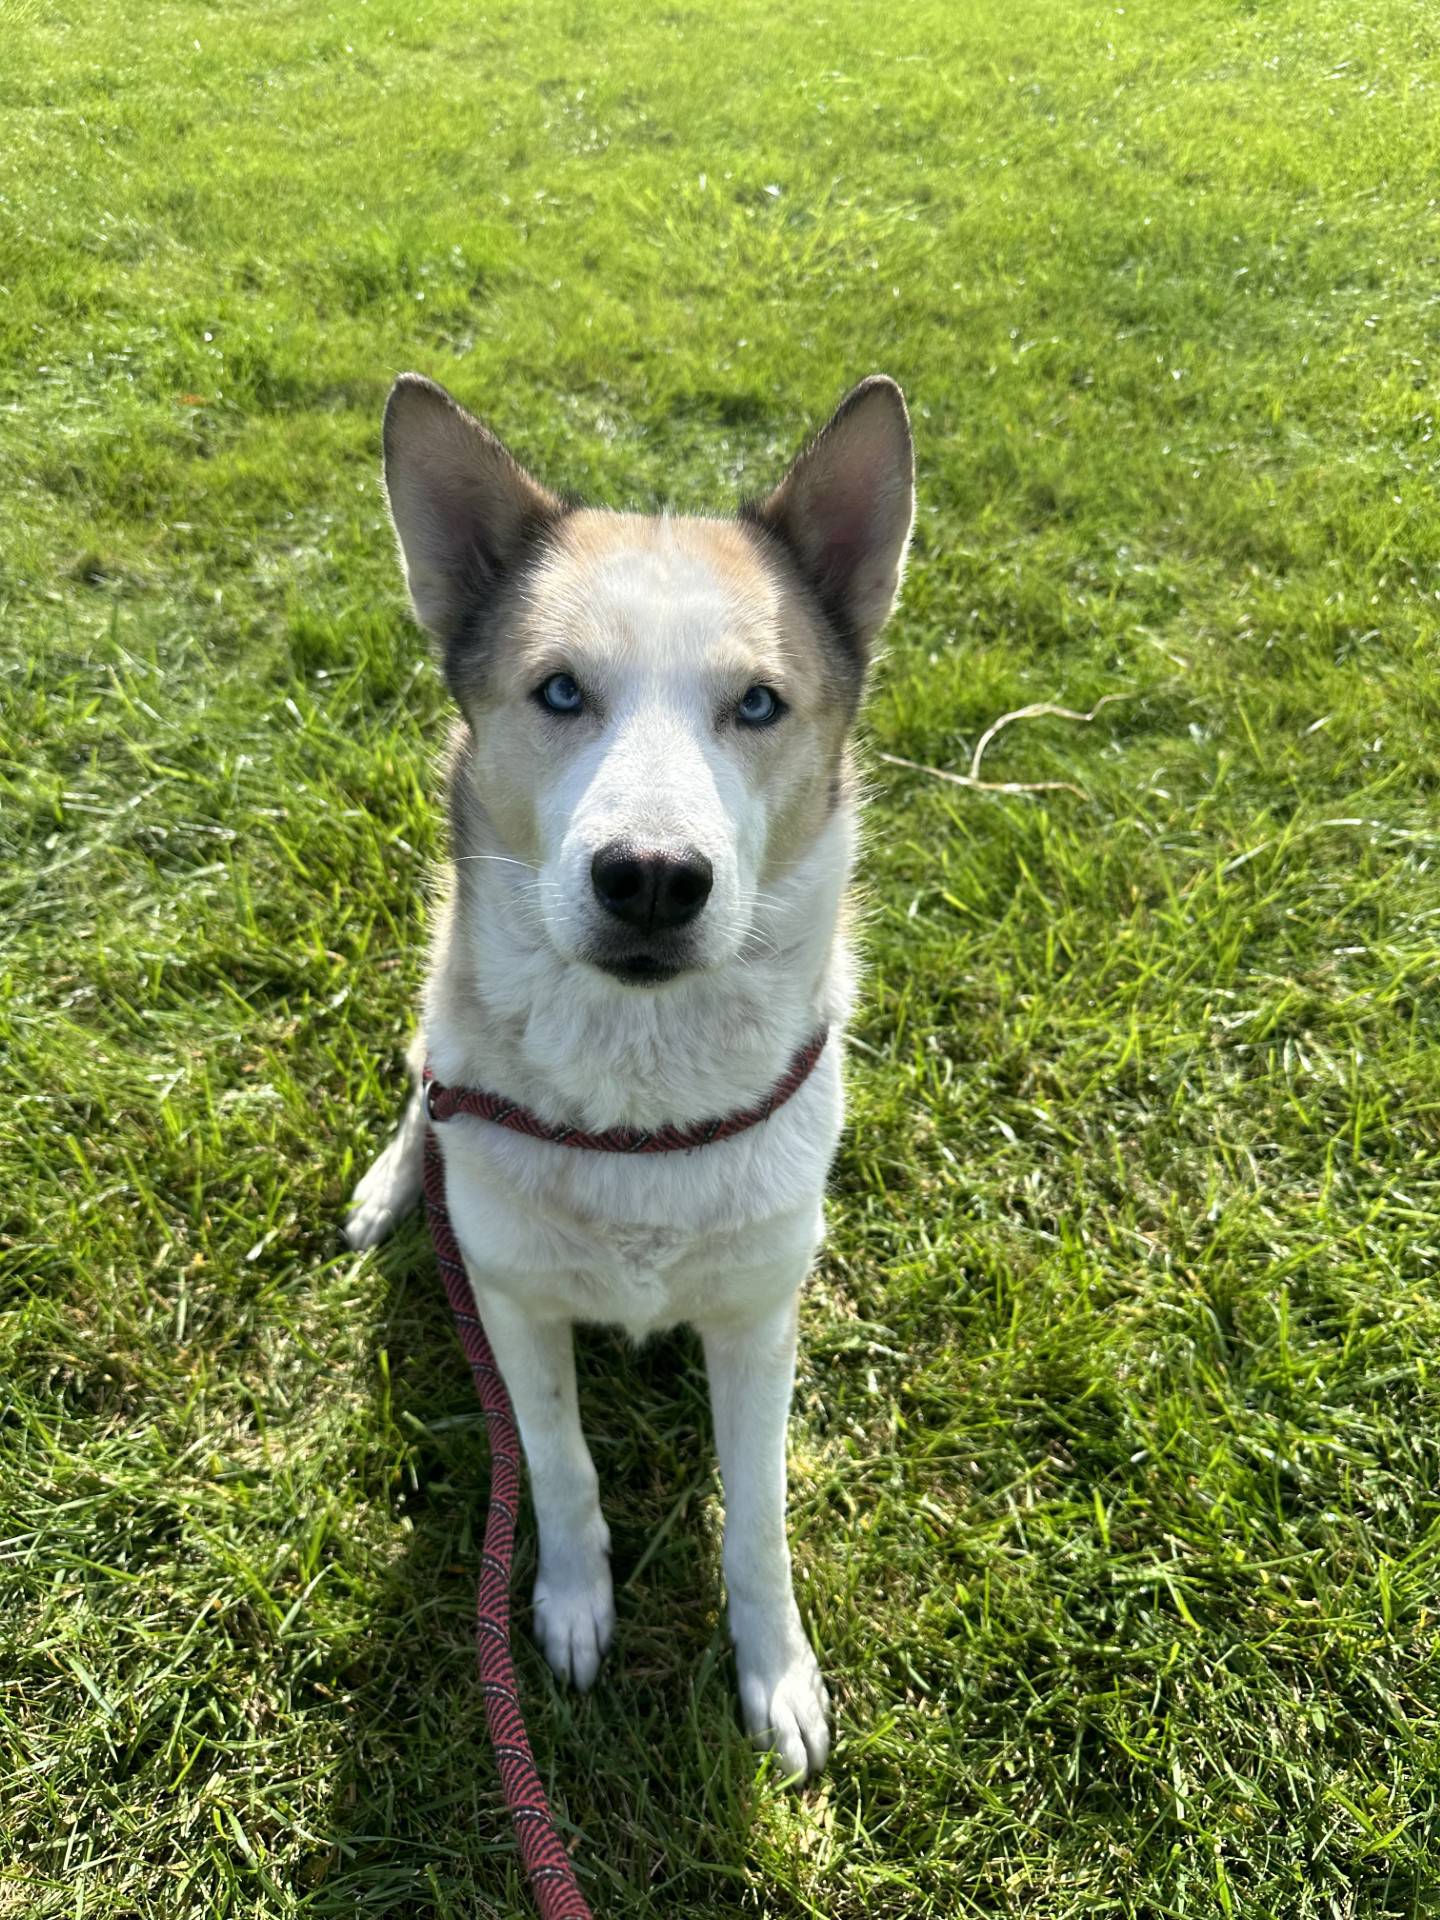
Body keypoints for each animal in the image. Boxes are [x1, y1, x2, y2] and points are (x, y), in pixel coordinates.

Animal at [347, 366, 913, 1774]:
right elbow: (558, 1465)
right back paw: (390, 1189)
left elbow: (758, 1518)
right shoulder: (513, 1305)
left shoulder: (761, 1319)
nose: (652, 878)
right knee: (423, 1084)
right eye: (560, 692)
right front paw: (570, 1604)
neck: (642, 1112)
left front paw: (776, 1673)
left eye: (757, 702)